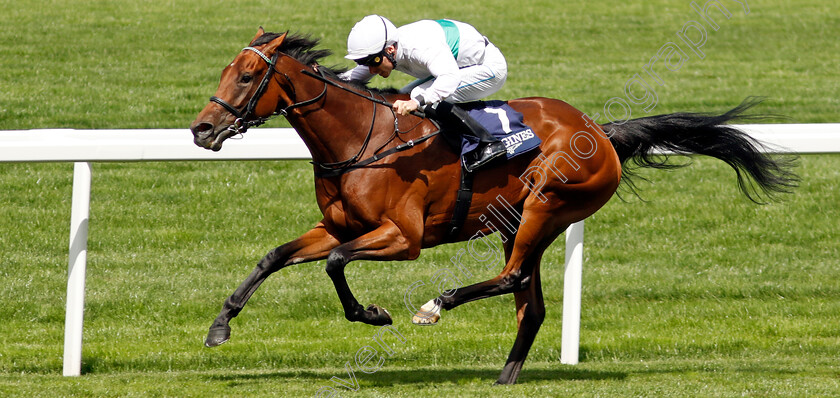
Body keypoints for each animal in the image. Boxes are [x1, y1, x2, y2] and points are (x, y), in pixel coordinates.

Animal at [187, 28, 796, 386]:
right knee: (531, 302)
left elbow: (337, 264)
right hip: (520, 221)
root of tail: (600, 131)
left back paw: (437, 304)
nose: (202, 129)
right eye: (224, 72)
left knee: (512, 278)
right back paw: (504, 377)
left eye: (247, 75)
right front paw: (219, 327)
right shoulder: (337, 225)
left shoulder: (403, 237)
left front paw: (375, 313)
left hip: (548, 205)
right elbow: (274, 257)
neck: (365, 139)